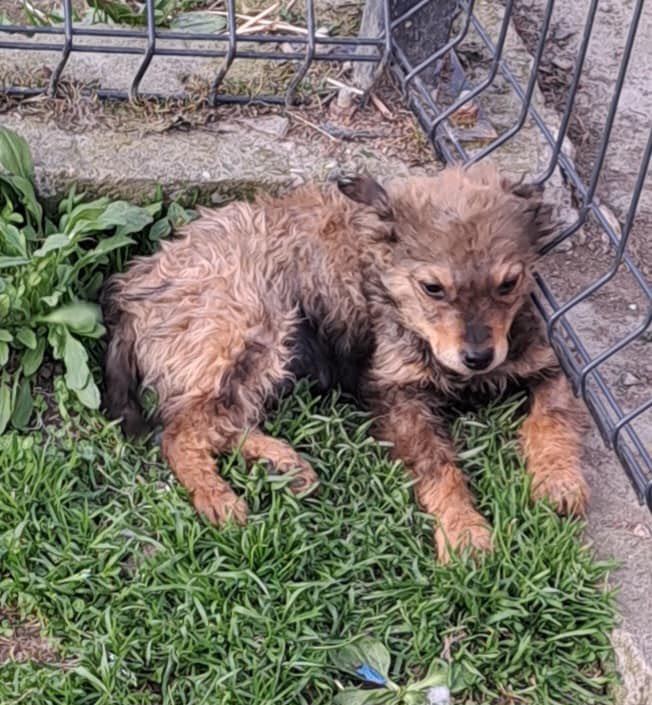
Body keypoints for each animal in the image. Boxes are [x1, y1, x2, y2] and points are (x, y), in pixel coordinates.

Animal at [103, 164, 592, 560]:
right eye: (432, 288)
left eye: (509, 283)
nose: (478, 358)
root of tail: (134, 291)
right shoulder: (396, 395)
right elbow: (439, 468)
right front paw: (464, 532)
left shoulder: (547, 363)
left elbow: (552, 416)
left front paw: (558, 479)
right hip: (254, 325)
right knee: (180, 432)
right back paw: (218, 498)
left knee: (219, 421)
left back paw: (282, 465)